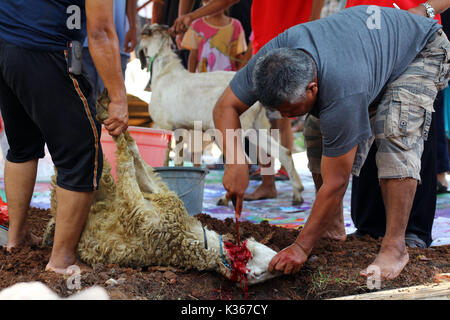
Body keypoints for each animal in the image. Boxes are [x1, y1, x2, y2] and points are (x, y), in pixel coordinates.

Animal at [138, 23, 306, 204]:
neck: (164, 71)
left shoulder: (165, 126)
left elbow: (165, 159)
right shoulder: (179, 128)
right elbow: (177, 162)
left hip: (231, 129)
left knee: (243, 163)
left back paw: (226, 199)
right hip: (256, 127)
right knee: (284, 152)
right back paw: (297, 194)